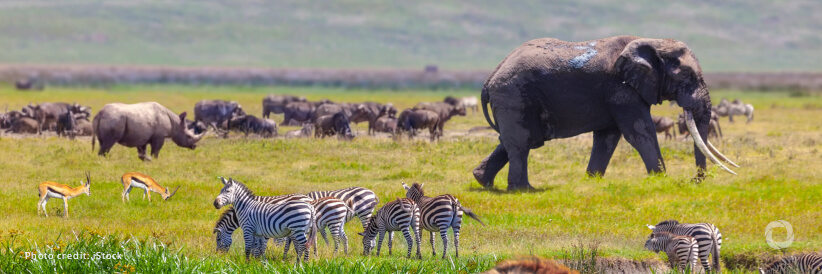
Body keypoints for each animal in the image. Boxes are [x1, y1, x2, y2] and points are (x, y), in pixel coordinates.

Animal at [476, 35, 740, 191]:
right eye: (686, 75)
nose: (694, 180)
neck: (652, 41)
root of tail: (489, 79)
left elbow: (607, 138)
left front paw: (591, 181)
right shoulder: (621, 89)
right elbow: (640, 132)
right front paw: (660, 180)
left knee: (517, 140)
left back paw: (483, 182)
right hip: (513, 95)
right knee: (522, 143)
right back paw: (523, 190)